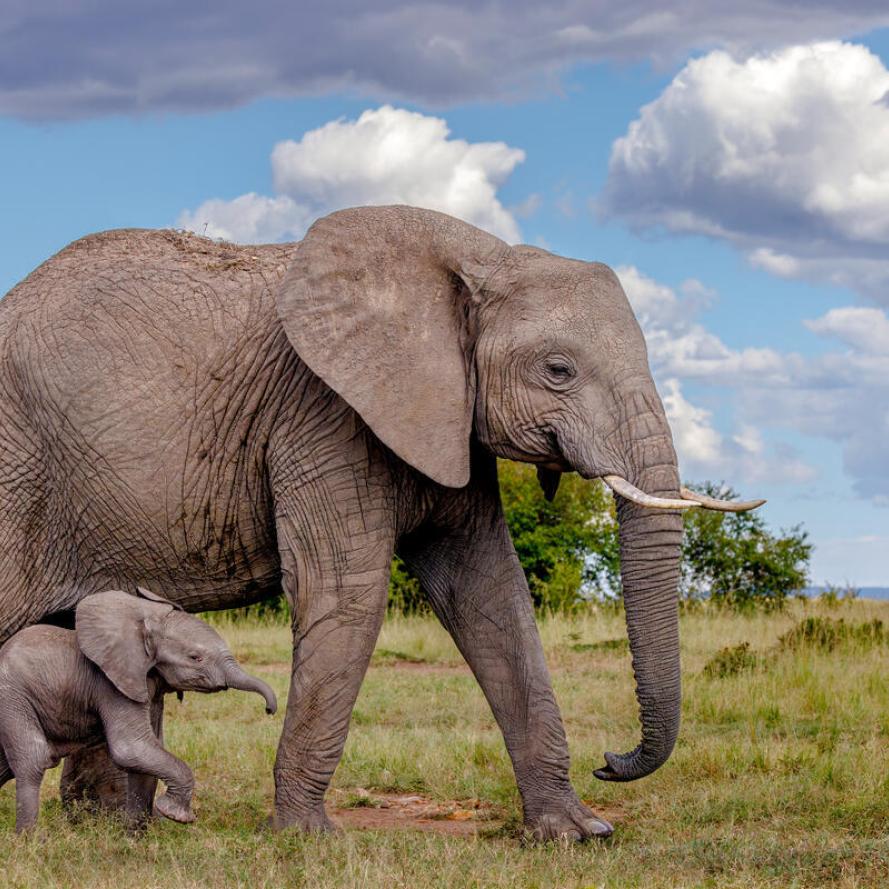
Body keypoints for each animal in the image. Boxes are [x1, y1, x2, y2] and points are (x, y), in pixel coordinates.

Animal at [0, 587, 277, 832]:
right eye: (195, 658)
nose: (270, 710)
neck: (144, 625)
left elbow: (148, 751)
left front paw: (133, 838)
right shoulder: (111, 683)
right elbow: (132, 747)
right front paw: (175, 815)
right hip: (13, 697)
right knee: (34, 759)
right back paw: (30, 840)